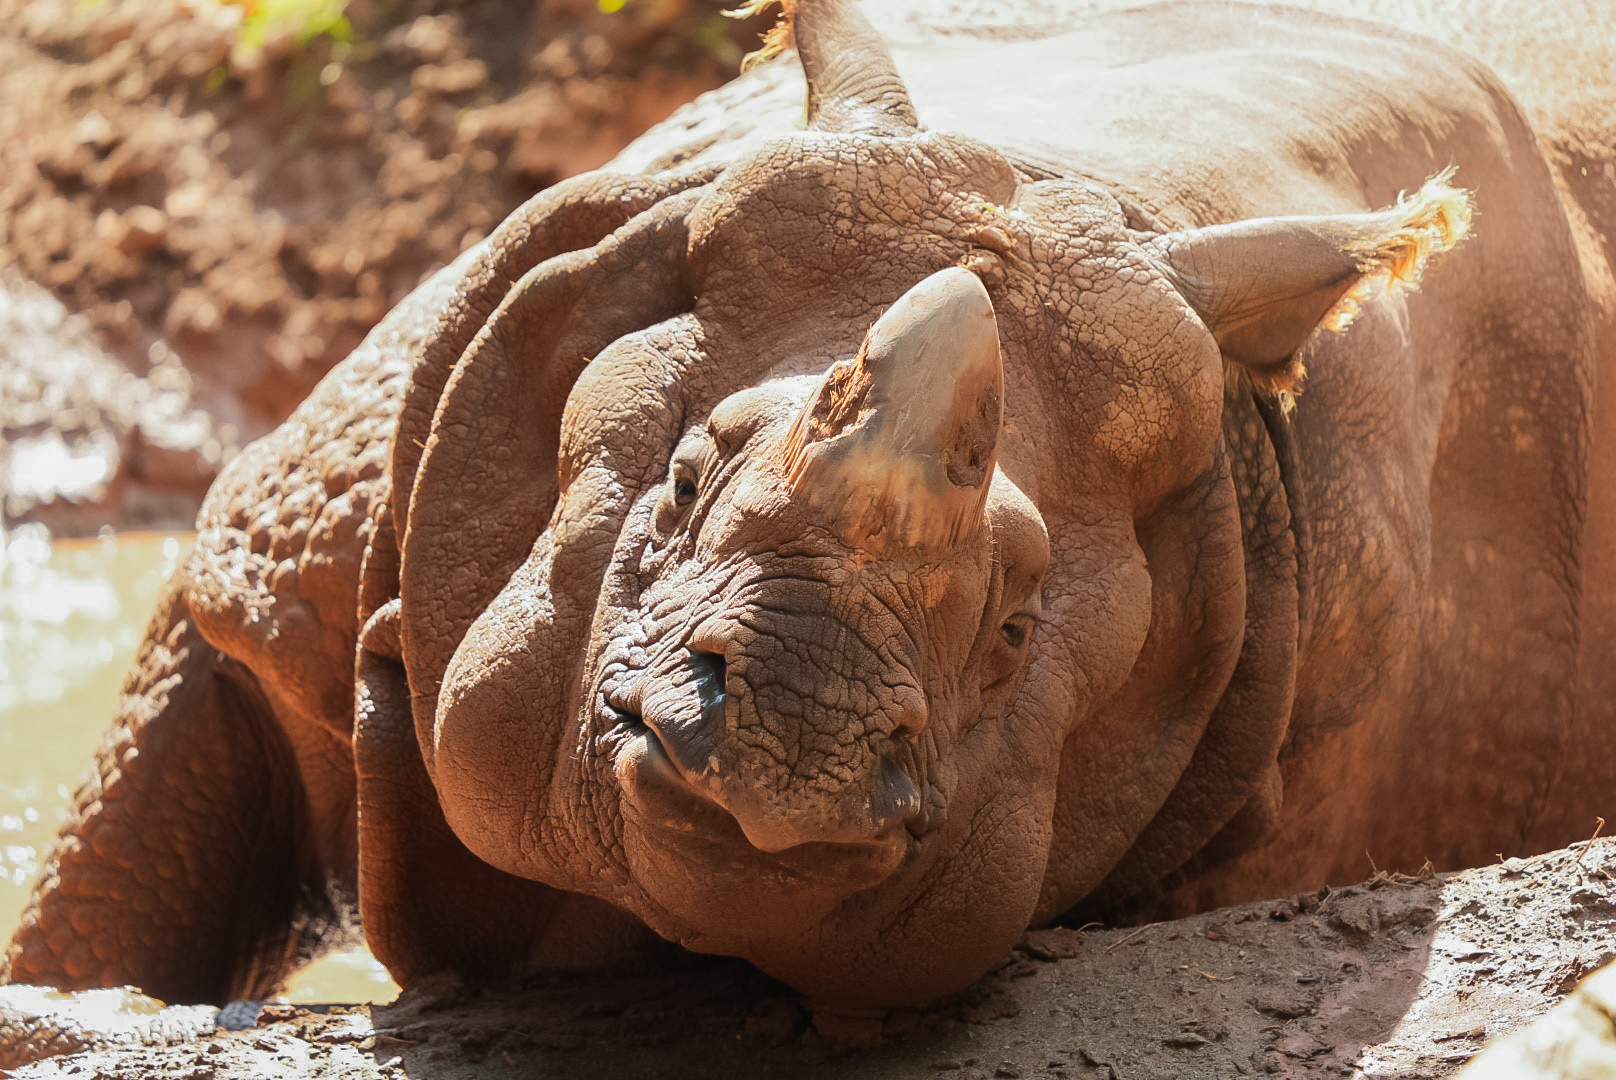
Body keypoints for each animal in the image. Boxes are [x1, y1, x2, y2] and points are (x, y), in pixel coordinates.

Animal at [5, 0, 1614, 1010]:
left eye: (1020, 630)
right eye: (682, 478)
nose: (792, 763)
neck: (1088, 171)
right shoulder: (271, 561)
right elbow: (108, 891)